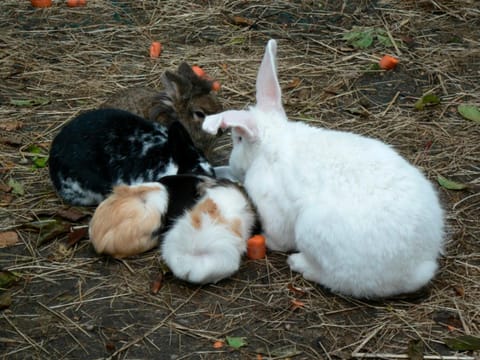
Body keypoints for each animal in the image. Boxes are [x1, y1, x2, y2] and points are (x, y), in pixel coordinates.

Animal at [201, 39, 444, 298]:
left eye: (238, 139)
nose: (233, 164)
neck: (271, 143)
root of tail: (416, 267)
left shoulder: (273, 210)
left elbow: (278, 238)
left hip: (312, 231)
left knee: (335, 278)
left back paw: (299, 264)